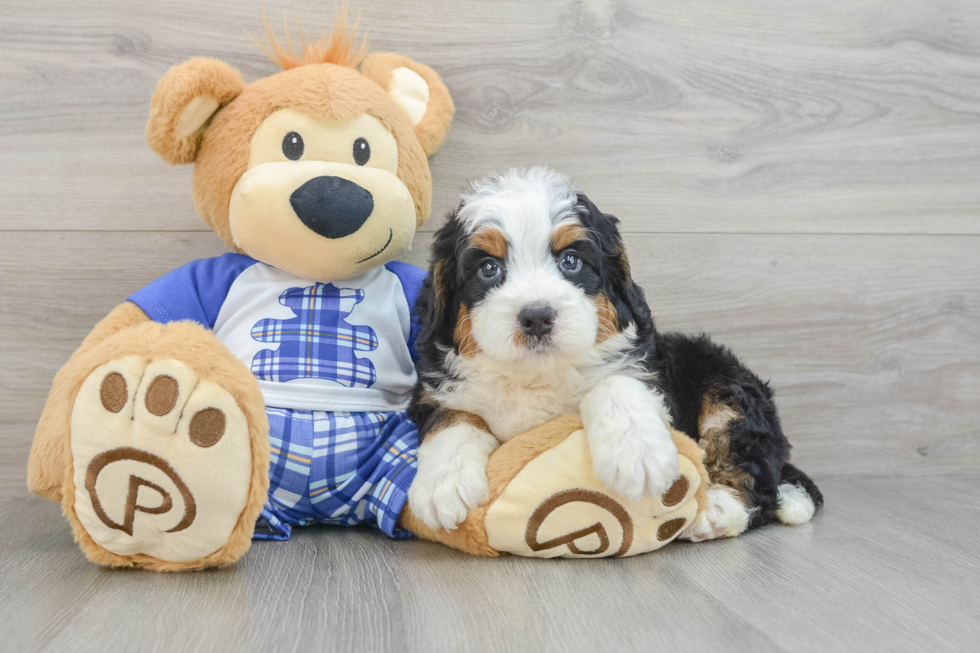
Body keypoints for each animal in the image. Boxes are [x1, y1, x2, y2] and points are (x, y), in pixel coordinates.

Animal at [404, 168, 820, 540]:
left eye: (571, 261)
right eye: (488, 268)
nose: (537, 317)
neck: (539, 374)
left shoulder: (647, 369)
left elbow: (616, 381)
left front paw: (637, 454)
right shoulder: (433, 391)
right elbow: (455, 418)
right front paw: (443, 486)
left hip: (728, 386)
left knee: (752, 474)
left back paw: (716, 510)